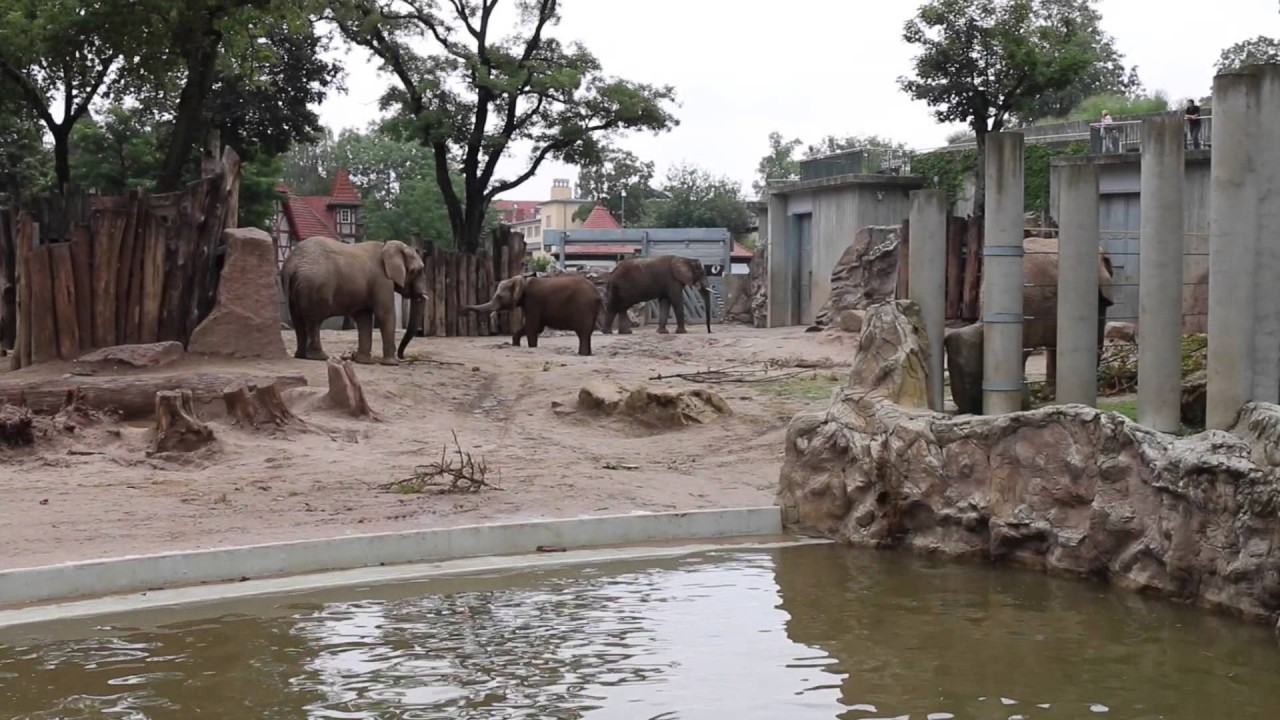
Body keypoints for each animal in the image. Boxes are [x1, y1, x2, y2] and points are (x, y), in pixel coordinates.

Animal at [280, 235, 430, 363]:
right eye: (417, 271)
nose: (403, 357)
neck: (386, 246)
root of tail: (291, 263)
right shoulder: (382, 280)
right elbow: (385, 314)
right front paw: (391, 363)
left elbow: (364, 318)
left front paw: (364, 361)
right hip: (315, 285)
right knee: (314, 320)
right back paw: (319, 357)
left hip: (297, 287)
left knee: (298, 320)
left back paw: (300, 355)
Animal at [463, 271, 601, 356]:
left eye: (500, 297)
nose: (462, 309)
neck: (523, 281)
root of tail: (598, 294)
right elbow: (532, 328)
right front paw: (516, 345)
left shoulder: (533, 302)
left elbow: (532, 328)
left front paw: (532, 347)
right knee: (587, 334)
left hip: (584, 308)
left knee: (583, 334)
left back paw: (582, 354)